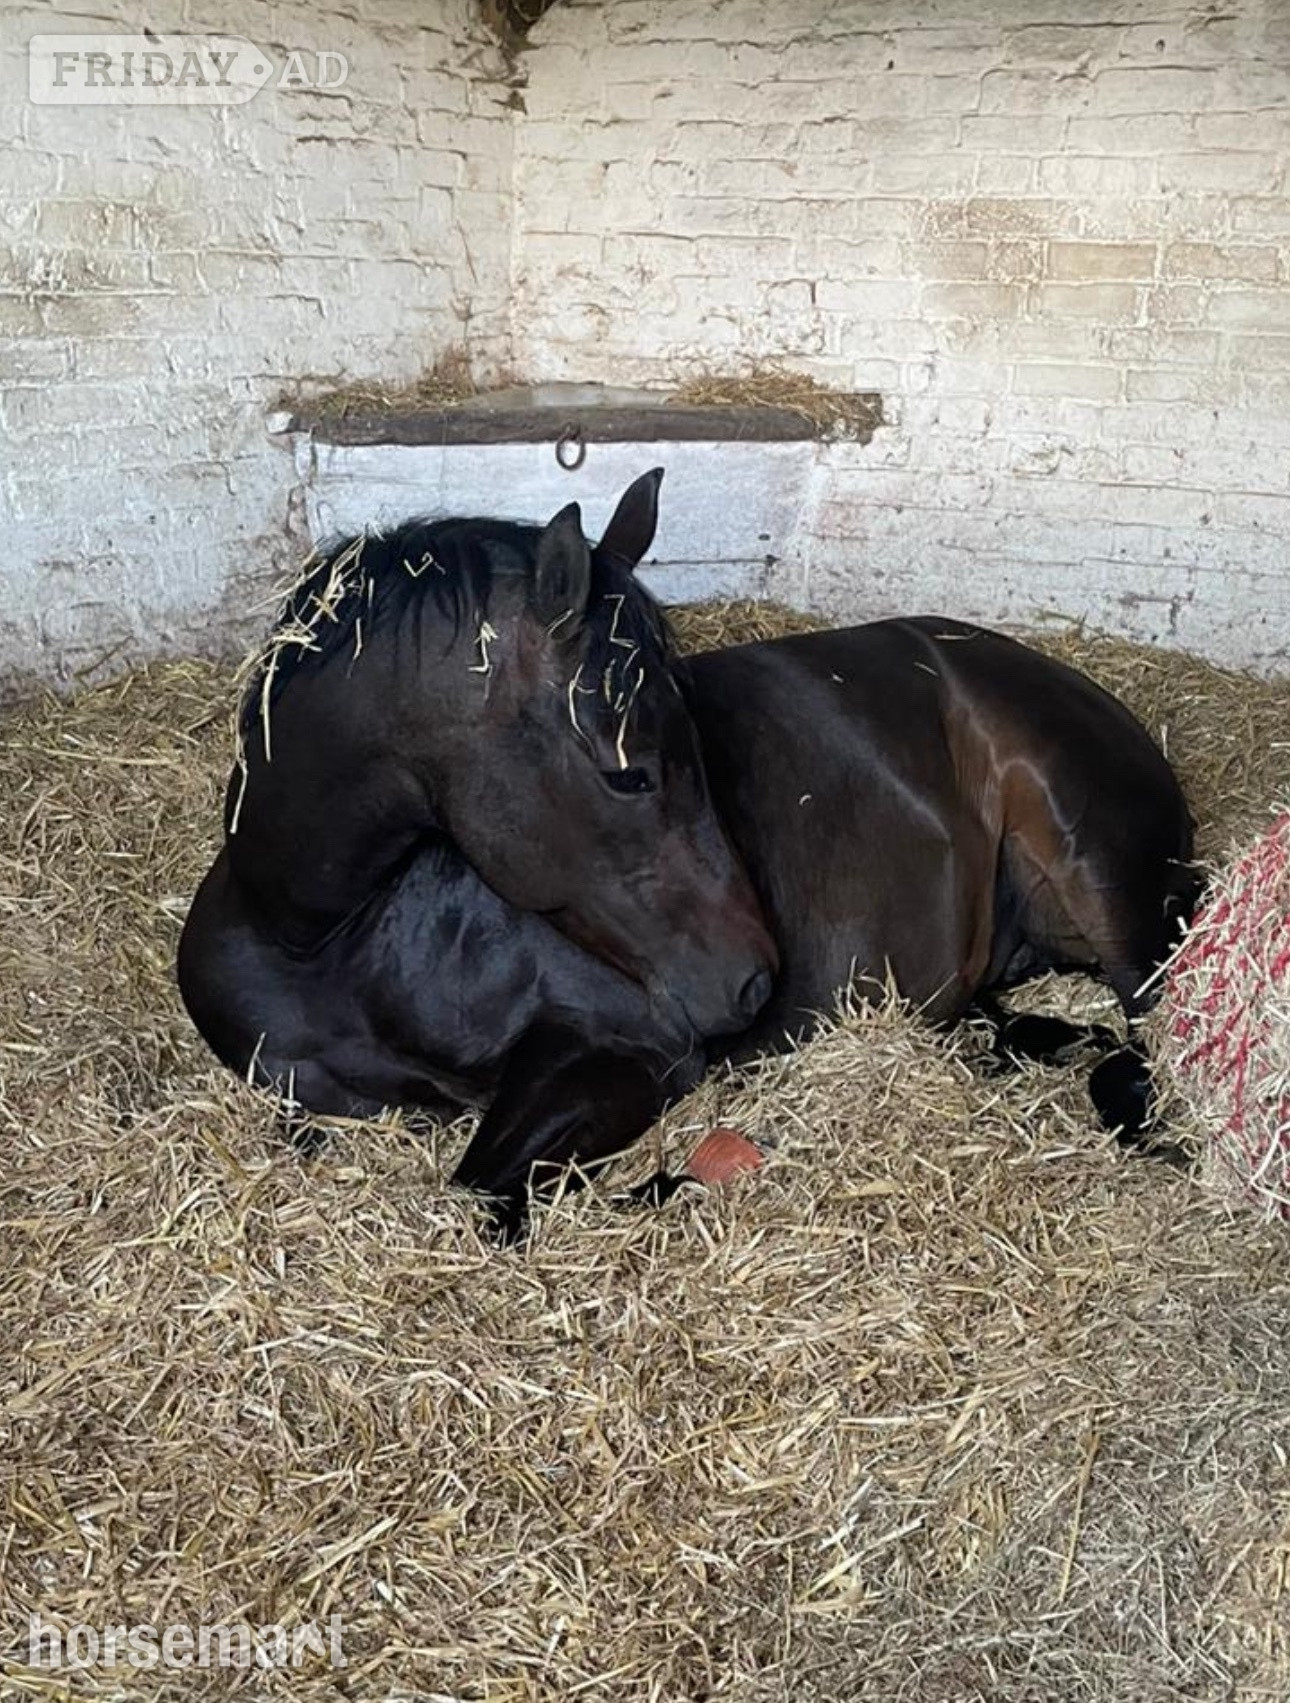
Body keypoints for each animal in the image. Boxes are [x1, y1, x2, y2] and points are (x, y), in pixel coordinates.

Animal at [178, 470, 1199, 1230]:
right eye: (629, 773)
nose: (752, 981)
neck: (323, 940)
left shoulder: (629, 1055)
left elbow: (486, 1188)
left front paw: (678, 1182)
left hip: (1110, 889)